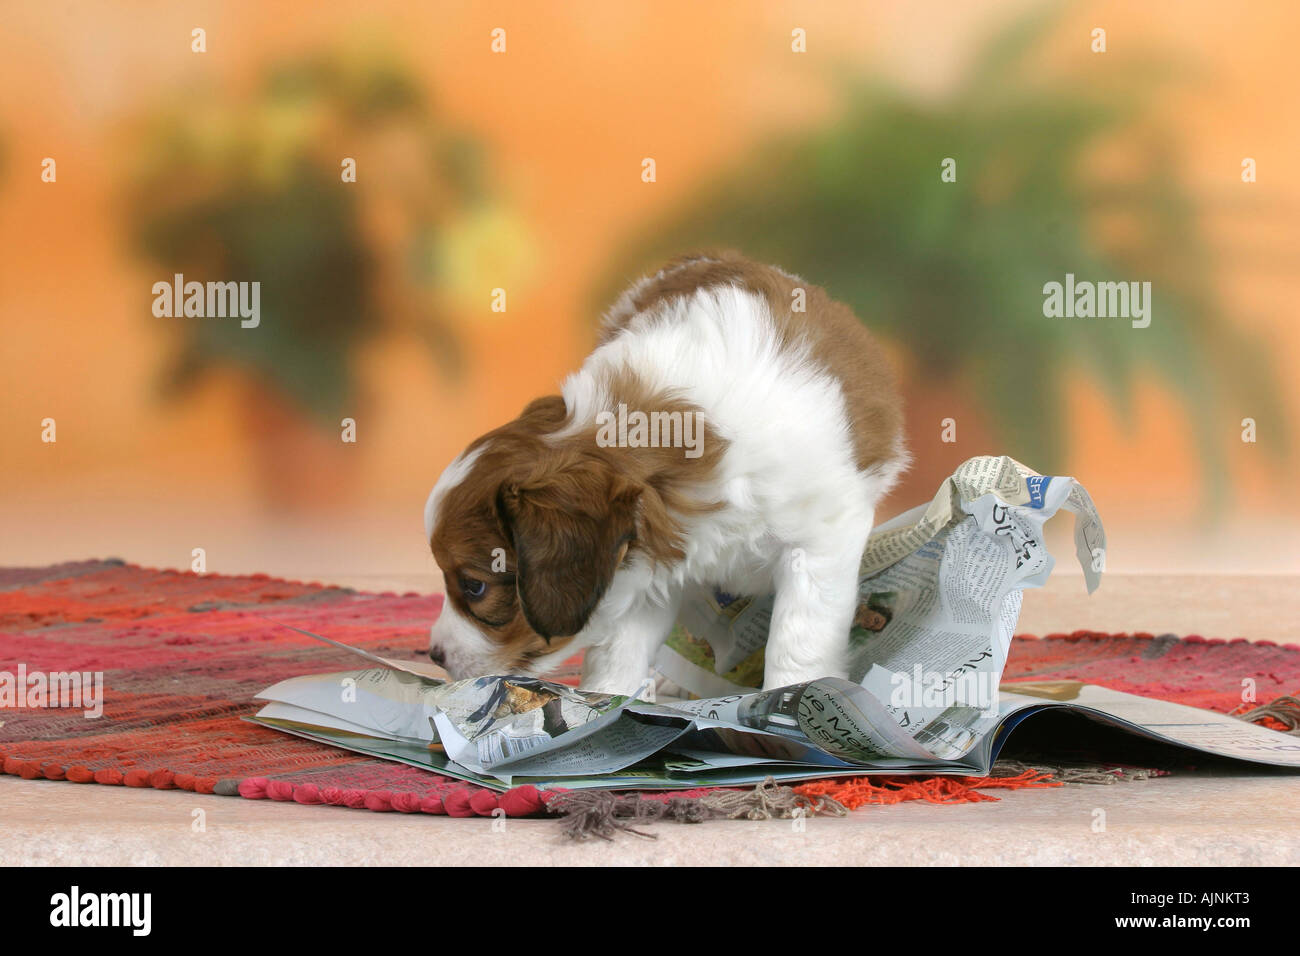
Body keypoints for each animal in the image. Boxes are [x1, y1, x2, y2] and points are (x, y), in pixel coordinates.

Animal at [423, 252, 904, 697]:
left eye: (474, 586)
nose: (434, 654)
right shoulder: (651, 565)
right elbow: (617, 649)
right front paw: (607, 701)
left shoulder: (820, 536)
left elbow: (799, 638)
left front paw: (791, 696)